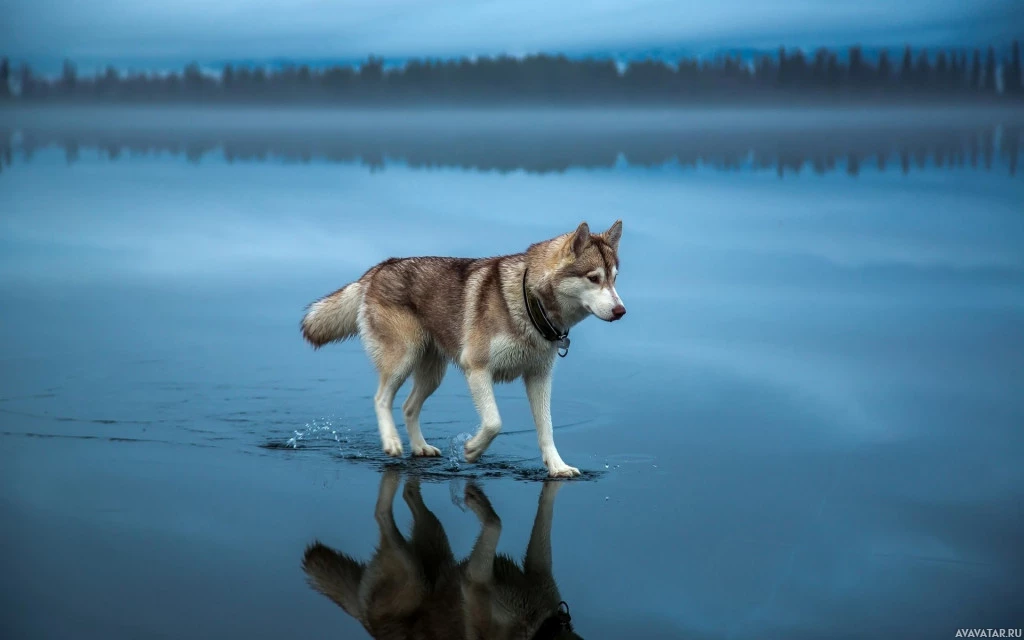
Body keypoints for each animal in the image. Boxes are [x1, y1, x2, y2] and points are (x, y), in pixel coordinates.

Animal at [299, 219, 622, 475]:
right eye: (594, 278)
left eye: (615, 279)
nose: (621, 311)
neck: (530, 302)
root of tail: (379, 267)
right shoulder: (476, 369)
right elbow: (493, 422)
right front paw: (472, 450)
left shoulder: (539, 377)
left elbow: (547, 429)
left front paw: (557, 467)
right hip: (403, 359)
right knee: (381, 399)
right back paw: (391, 442)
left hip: (432, 374)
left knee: (408, 407)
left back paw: (420, 447)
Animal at [299, 468, 581, 638]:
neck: (541, 627)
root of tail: (365, 621)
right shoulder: (475, 580)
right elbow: (496, 522)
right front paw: (477, 501)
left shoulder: (538, 569)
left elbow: (545, 512)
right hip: (413, 572)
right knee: (382, 513)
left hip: (435, 539)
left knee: (409, 493)